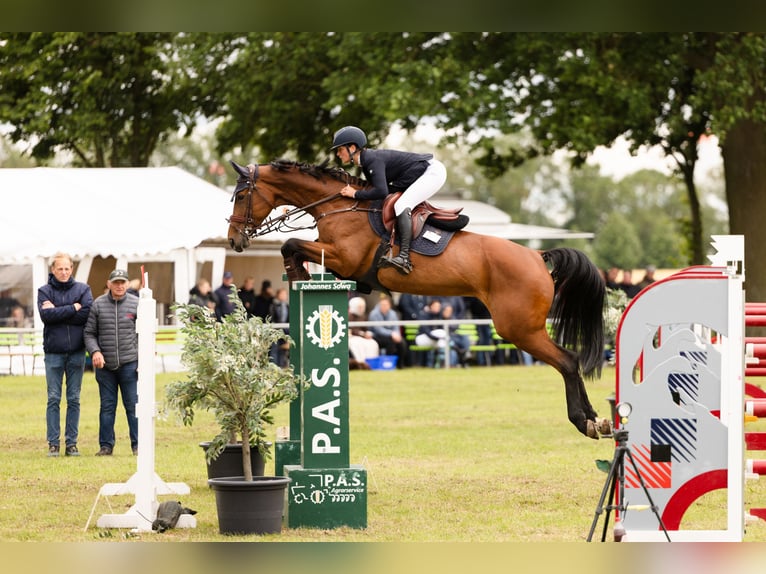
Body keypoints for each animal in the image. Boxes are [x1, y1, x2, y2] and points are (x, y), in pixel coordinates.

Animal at [227, 159, 610, 439]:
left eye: (242, 196)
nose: (234, 241)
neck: (340, 206)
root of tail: (538, 257)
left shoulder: (344, 259)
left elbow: (291, 244)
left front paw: (298, 275)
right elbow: (292, 247)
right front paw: (299, 276)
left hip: (519, 329)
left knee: (568, 361)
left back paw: (584, 421)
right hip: (522, 328)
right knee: (569, 361)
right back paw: (596, 419)